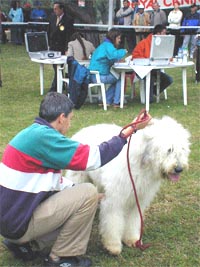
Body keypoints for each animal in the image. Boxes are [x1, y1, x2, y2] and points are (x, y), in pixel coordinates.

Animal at [65, 116, 191, 255]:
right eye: (169, 149)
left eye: (183, 149)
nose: (179, 169)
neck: (141, 164)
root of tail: (84, 129)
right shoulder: (115, 199)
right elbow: (112, 222)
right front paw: (113, 245)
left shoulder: (137, 199)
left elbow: (133, 220)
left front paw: (132, 239)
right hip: (78, 178)